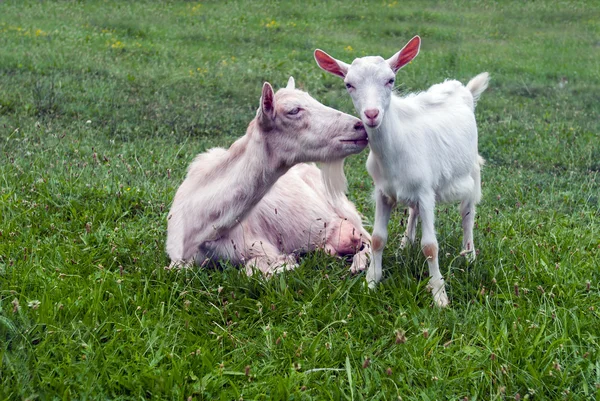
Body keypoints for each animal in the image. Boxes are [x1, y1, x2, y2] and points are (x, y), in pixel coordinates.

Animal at [165, 79, 370, 276]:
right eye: (293, 110)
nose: (360, 125)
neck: (200, 231)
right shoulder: (176, 257)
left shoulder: (260, 246)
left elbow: (250, 272)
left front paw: (286, 264)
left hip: (342, 204)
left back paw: (358, 265)